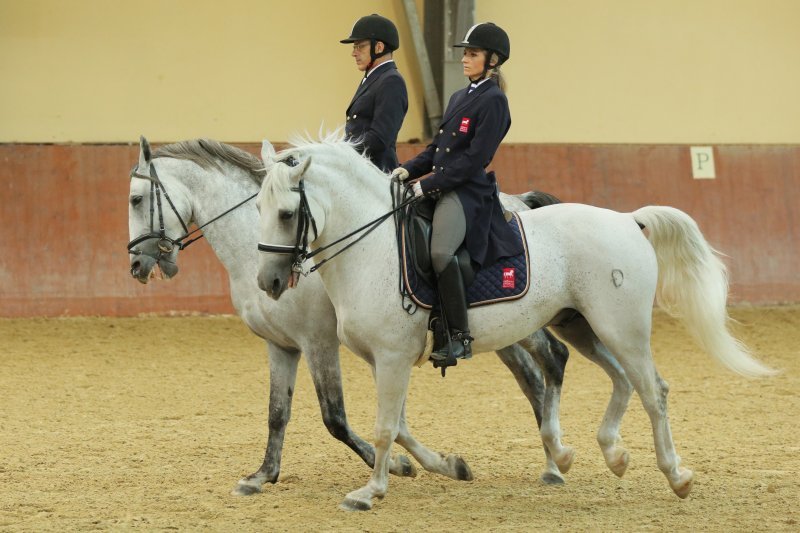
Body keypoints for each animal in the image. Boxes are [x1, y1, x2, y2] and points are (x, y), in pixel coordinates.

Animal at [255, 135, 776, 510]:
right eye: (258, 210)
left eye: (287, 212)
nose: (268, 281)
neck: (372, 247)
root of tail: (627, 220)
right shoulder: (381, 359)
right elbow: (397, 425)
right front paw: (446, 465)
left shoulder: (393, 357)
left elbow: (385, 428)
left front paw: (370, 492)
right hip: (580, 325)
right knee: (619, 379)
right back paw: (601, 454)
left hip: (620, 327)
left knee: (653, 391)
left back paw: (675, 475)